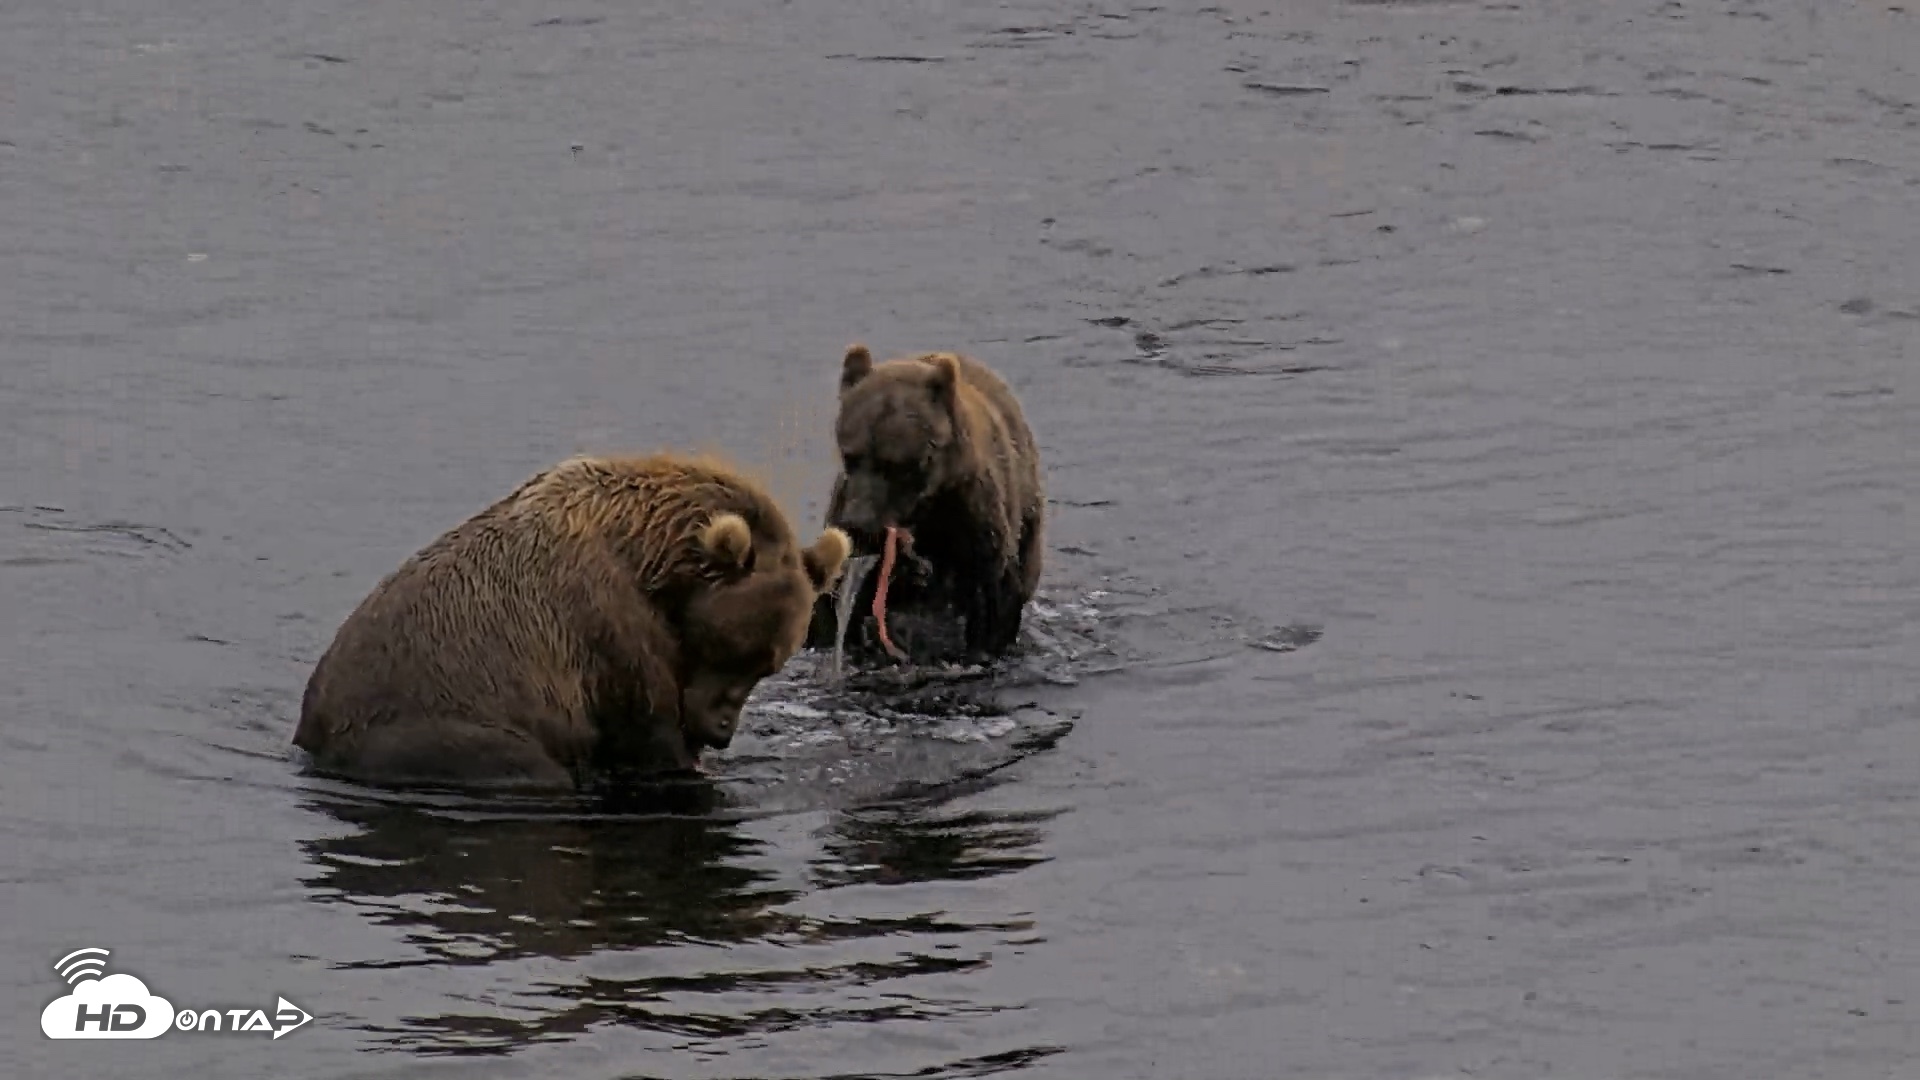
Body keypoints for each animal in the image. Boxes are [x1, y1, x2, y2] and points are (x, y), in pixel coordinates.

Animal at [293, 452, 850, 792]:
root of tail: (312, 728)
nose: (721, 729)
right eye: (731, 649)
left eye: (766, 666)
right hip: (435, 729)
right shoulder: (605, 627)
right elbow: (648, 730)